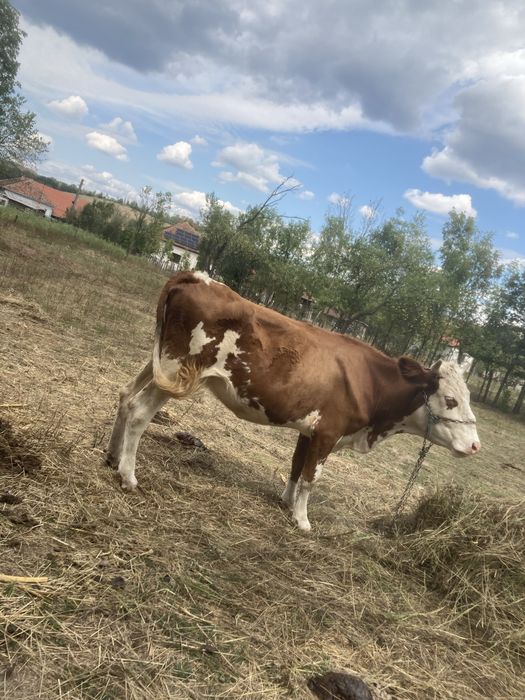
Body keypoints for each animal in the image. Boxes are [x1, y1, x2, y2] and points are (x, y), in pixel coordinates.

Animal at [107, 271, 480, 532]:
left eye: (468, 397)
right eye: (450, 400)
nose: (476, 445)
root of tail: (198, 276)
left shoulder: (310, 430)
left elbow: (297, 468)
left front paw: (286, 502)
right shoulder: (328, 433)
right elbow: (311, 478)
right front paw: (302, 520)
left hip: (158, 363)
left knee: (126, 396)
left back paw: (112, 456)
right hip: (177, 372)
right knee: (139, 412)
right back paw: (129, 476)